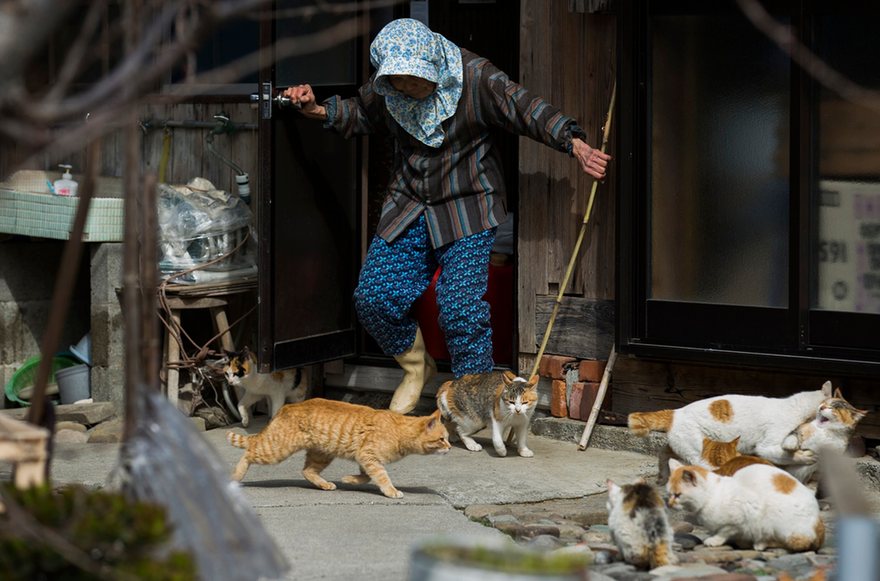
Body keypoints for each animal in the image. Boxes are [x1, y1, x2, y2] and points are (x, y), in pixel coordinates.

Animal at [227, 398, 450, 498]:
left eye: (448, 439)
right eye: (441, 439)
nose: (449, 448)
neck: (399, 429)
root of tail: (286, 406)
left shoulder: (365, 458)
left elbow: (366, 476)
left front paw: (349, 480)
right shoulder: (368, 456)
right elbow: (381, 477)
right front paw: (391, 491)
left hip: (322, 454)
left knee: (307, 471)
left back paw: (324, 484)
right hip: (276, 450)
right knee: (249, 451)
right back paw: (236, 476)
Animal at [668, 460, 824, 552]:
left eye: (677, 495)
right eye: (669, 493)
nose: (669, 504)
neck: (714, 495)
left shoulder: (741, 517)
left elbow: (725, 531)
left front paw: (715, 540)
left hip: (778, 524)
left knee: (797, 544)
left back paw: (760, 543)